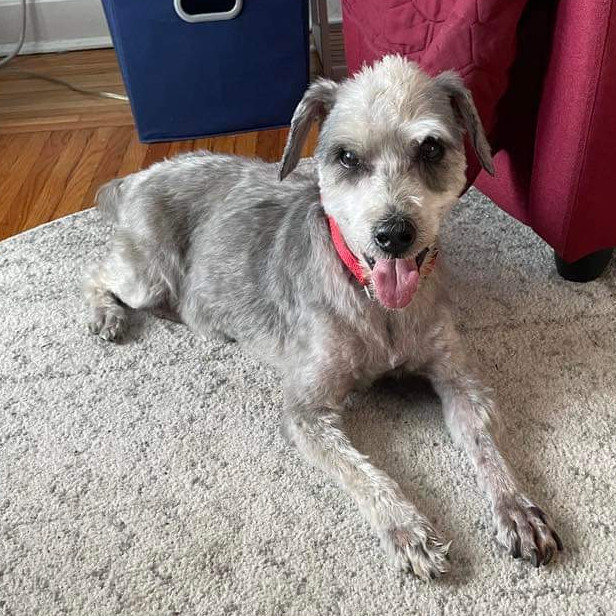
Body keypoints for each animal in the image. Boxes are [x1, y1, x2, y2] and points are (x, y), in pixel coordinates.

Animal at [85, 55, 564, 580]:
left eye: (431, 147)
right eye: (348, 158)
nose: (394, 234)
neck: (377, 304)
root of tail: (139, 176)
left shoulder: (459, 380)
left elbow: (483, 442)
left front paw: (516, 507)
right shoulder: (307, 410)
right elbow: (361, 470)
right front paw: (406, 528)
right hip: (147, 272)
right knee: (96, 272)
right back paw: (106, 316)